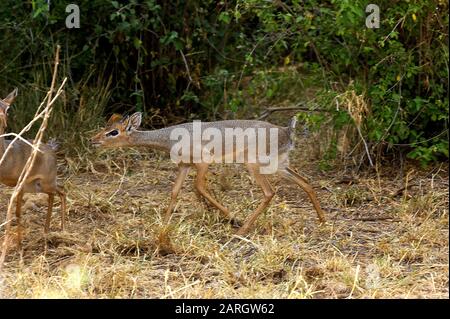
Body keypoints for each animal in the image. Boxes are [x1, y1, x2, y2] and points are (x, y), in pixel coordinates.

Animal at [0, 89, 66, 249]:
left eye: (8, 109)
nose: (3, 120)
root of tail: (51, 148)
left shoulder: (19, 185)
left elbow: (17, 212)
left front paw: (19, 247)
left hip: (45, 183)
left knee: (62, 191)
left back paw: (61, 230)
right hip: (37, 186)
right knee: (55, 194)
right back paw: (47, 230)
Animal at [91, 112, 326, 235]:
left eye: (113, 132)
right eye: (106, 127)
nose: (93, 140)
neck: (169, 139)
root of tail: (287, 131)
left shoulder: (203, 163)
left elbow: (199, 188)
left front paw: (232, 217)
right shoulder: (184, 166)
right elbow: (174, 192)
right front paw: (164, 225)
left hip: (255, 165)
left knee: (270, 192)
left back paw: (241, 230)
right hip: (280, 165)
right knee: (306, 182)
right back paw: (323, 221)